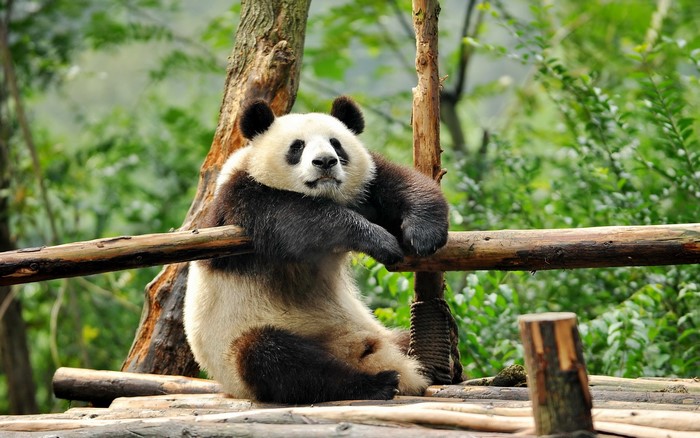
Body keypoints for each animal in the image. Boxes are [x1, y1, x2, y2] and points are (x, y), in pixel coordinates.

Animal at [184, 96, 449, 404]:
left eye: (336, 144)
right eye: (297, 146)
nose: (325, 162)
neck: (323, 194)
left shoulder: (363, 185)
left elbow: (398, 181)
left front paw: (424, 234)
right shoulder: (242, 198)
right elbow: (299, 219)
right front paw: (379, 241)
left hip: (378, 333)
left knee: (401, 339)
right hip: (240, 347)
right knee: (278, 361)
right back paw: (375, 383)